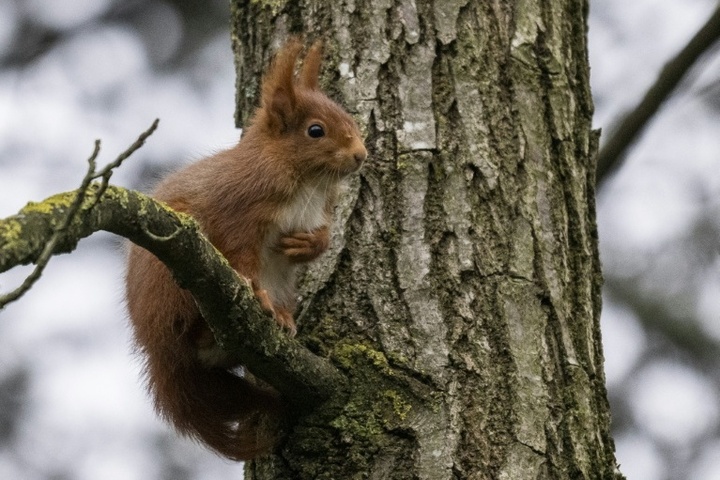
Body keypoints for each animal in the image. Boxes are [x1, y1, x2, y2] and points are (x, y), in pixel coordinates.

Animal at [124, 39, 367, 460]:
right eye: (315, 130)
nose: (361, 155)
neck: (308, 181)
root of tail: (158, 355)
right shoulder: (240, 211)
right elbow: (241, 256)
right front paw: (258, 295)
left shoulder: (321, 209)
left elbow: (322, 237)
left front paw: (308, 245)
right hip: (171, 282)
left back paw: (284, 319)